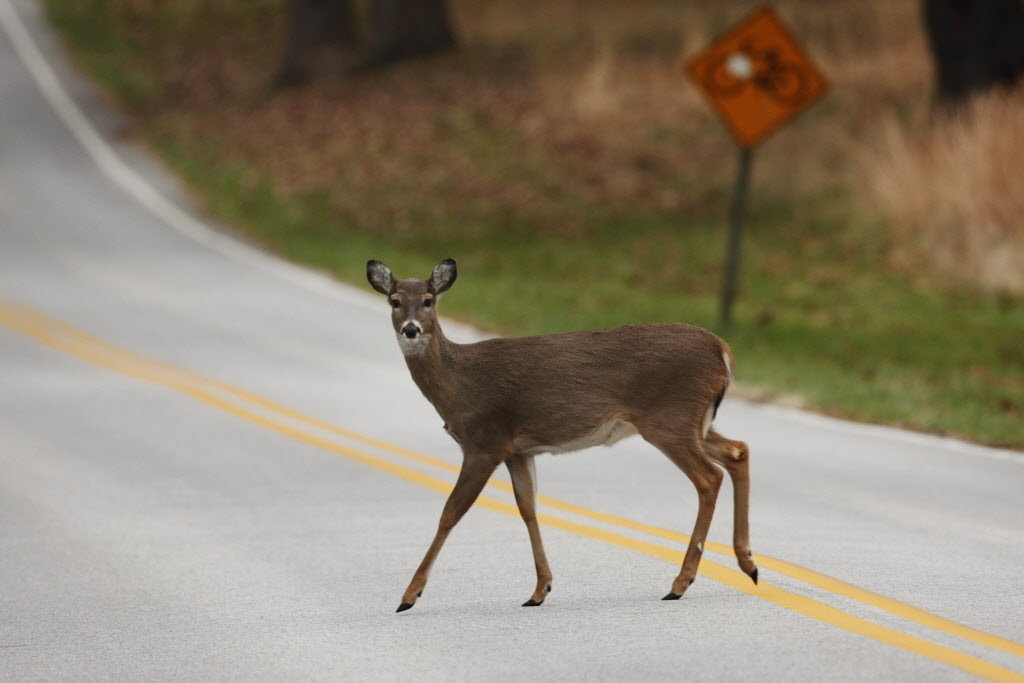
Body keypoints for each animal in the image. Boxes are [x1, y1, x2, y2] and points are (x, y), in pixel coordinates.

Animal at [366, 258, 757, 612]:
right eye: (395, 301)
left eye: (428, 300)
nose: (411, 329)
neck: (458, 385)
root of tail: (723, 351)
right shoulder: (518, 450)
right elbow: (528, 508)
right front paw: (540, 589)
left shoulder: (484, 442)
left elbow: (450, 512)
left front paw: (409, 596)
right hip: (693, 421)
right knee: (738, 450)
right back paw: (748, 564)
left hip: (669, 419)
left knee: (709, 477)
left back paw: (680, 583)